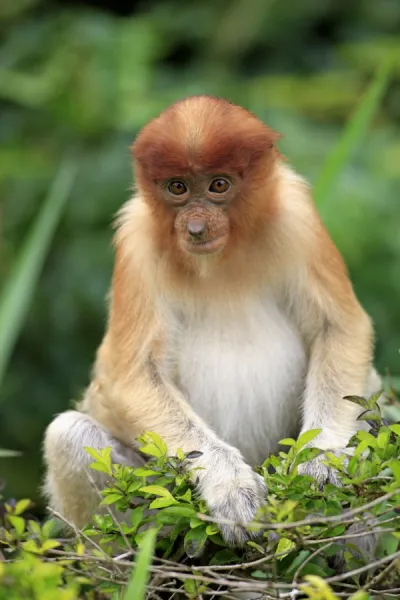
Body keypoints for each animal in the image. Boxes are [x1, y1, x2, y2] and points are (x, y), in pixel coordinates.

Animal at [43, 94, 382, 544]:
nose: (196, 227)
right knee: (68, 434)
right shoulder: (135, 243)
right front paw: (231, 487)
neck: (222, 259)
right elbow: (132, 373)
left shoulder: (298, 219)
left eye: (218, 185)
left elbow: (340, 328)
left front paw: (321, 461)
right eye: (178, 187)